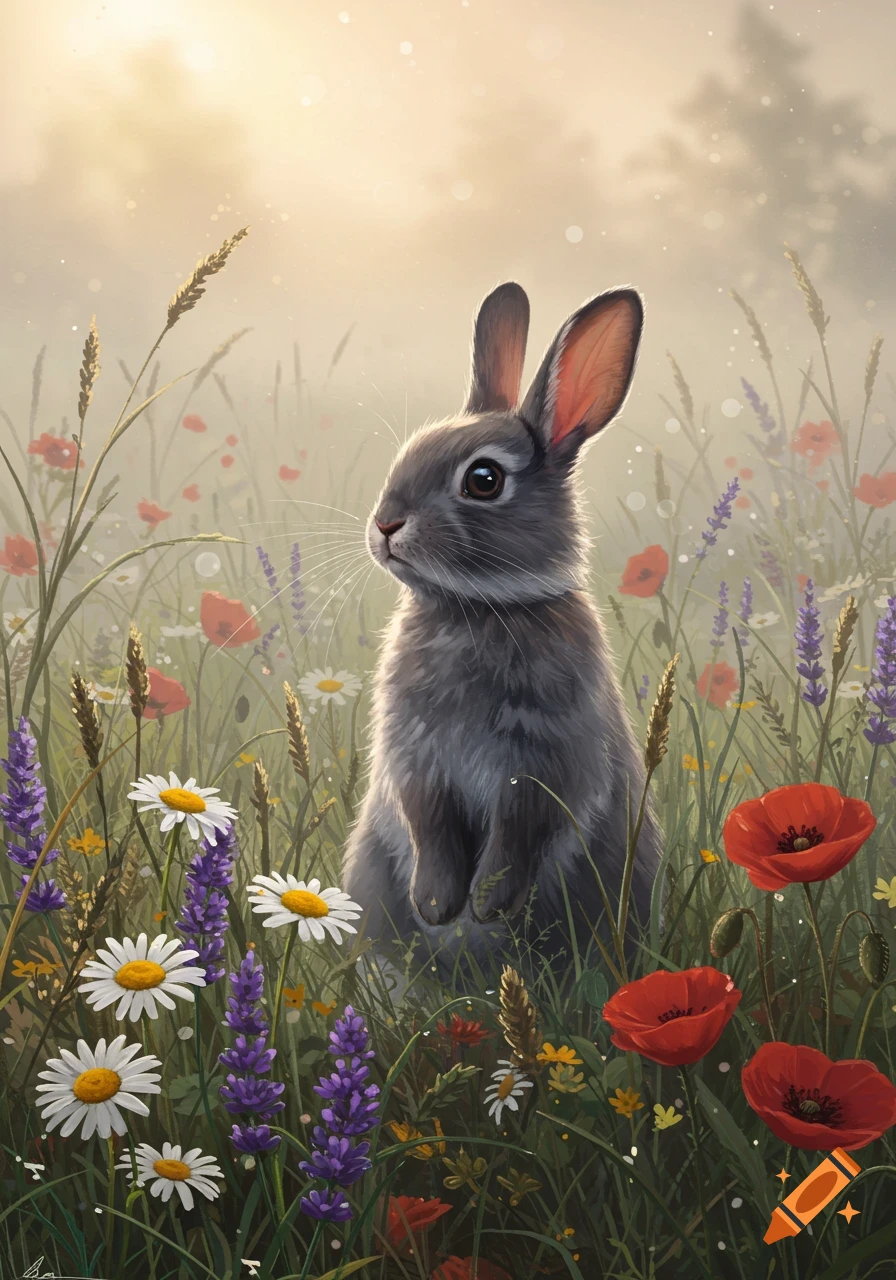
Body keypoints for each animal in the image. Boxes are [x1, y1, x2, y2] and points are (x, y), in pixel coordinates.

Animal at [342, 281, 663, 970]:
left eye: (483, 480)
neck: (480, 609)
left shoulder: (547, 759)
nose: (384, 525)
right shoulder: (418, 756)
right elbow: (428, 822)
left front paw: (486, 905)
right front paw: (438, 904)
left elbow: (520, 834)